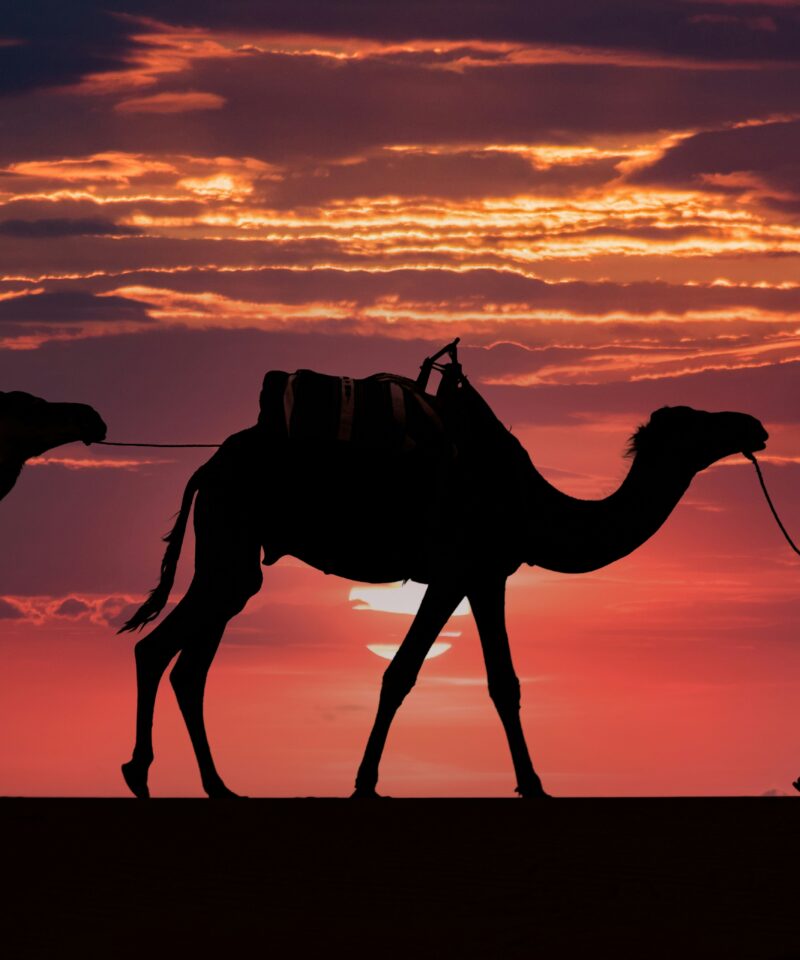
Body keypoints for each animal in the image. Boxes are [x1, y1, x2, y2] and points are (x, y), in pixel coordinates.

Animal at [119, 358, 768, 799]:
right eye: (696, 422)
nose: (753, 425)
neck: (532, 506)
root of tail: (210, 463)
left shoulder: (485, 576)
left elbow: (503, 683)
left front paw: (532, 784)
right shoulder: (458, 570)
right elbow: (402, 673)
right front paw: (365, 784)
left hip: (233, 550)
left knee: (189, 661)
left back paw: (215, 785)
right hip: (231, 531)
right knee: (165, 648)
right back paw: (143, 774)